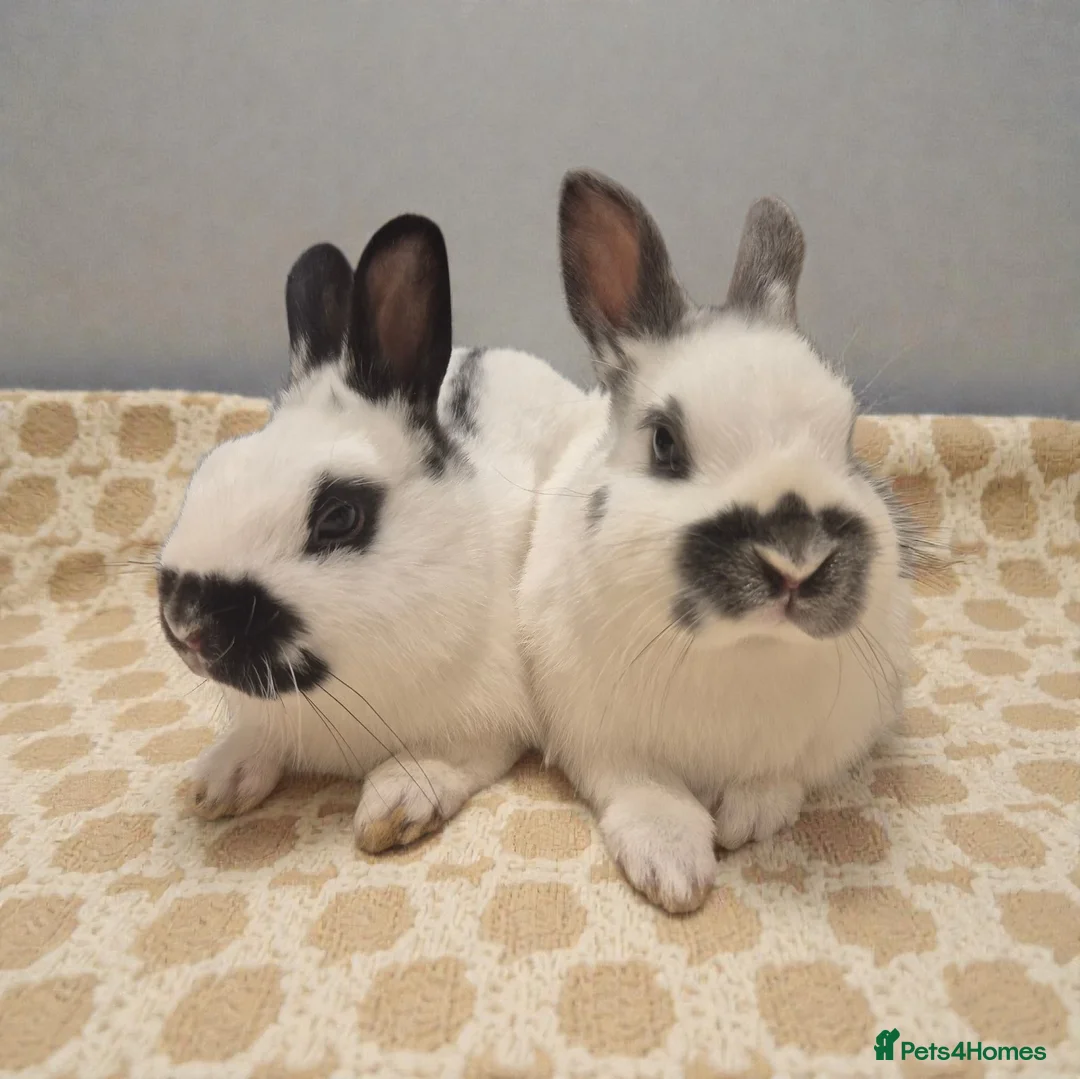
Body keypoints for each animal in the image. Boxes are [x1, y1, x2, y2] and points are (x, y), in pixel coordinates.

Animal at [158, 212, 585, 852]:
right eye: (209, 466)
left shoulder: (484, 725)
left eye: (339, 516)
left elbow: (445, 760)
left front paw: (395, 806)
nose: (185, 624)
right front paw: (218, 783)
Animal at [518, 171, 919, 913]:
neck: (744, 650)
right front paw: (674, 868)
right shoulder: (599, 738)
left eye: (848, 435)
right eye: (664, 442)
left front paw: (746, 819)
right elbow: (646, 791)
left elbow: (778, 781)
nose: (797, 561)